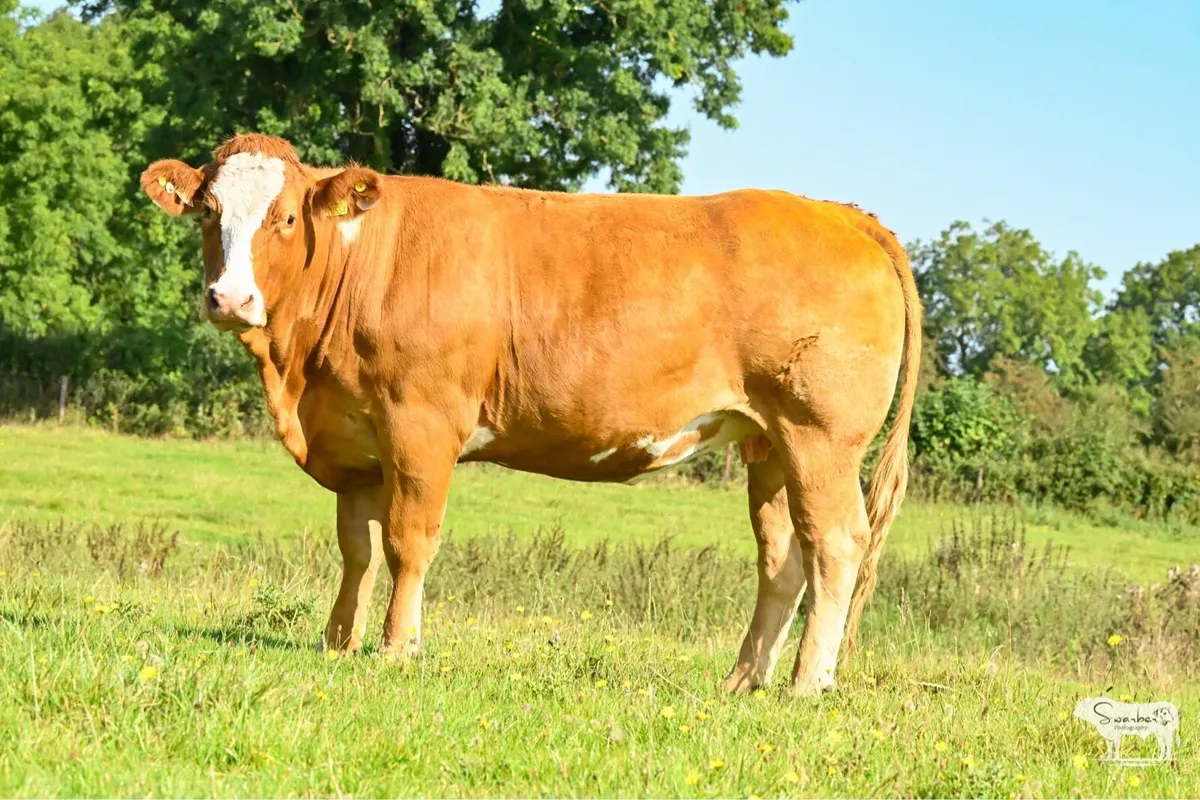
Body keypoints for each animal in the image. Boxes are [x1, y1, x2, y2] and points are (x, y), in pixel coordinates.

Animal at [139, 133, 921, 696]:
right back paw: (741, 680)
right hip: (769, 443)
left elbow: (407, 542)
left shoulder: (422, 424)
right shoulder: (355, 440)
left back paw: (806, 684)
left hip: (821, 437)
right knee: (783, 557)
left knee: (836, 544)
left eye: (285, 217)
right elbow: (356, 549)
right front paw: (339, 643)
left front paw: (397, 650)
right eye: (208, 212)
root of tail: (838, 211)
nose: (229, 298)